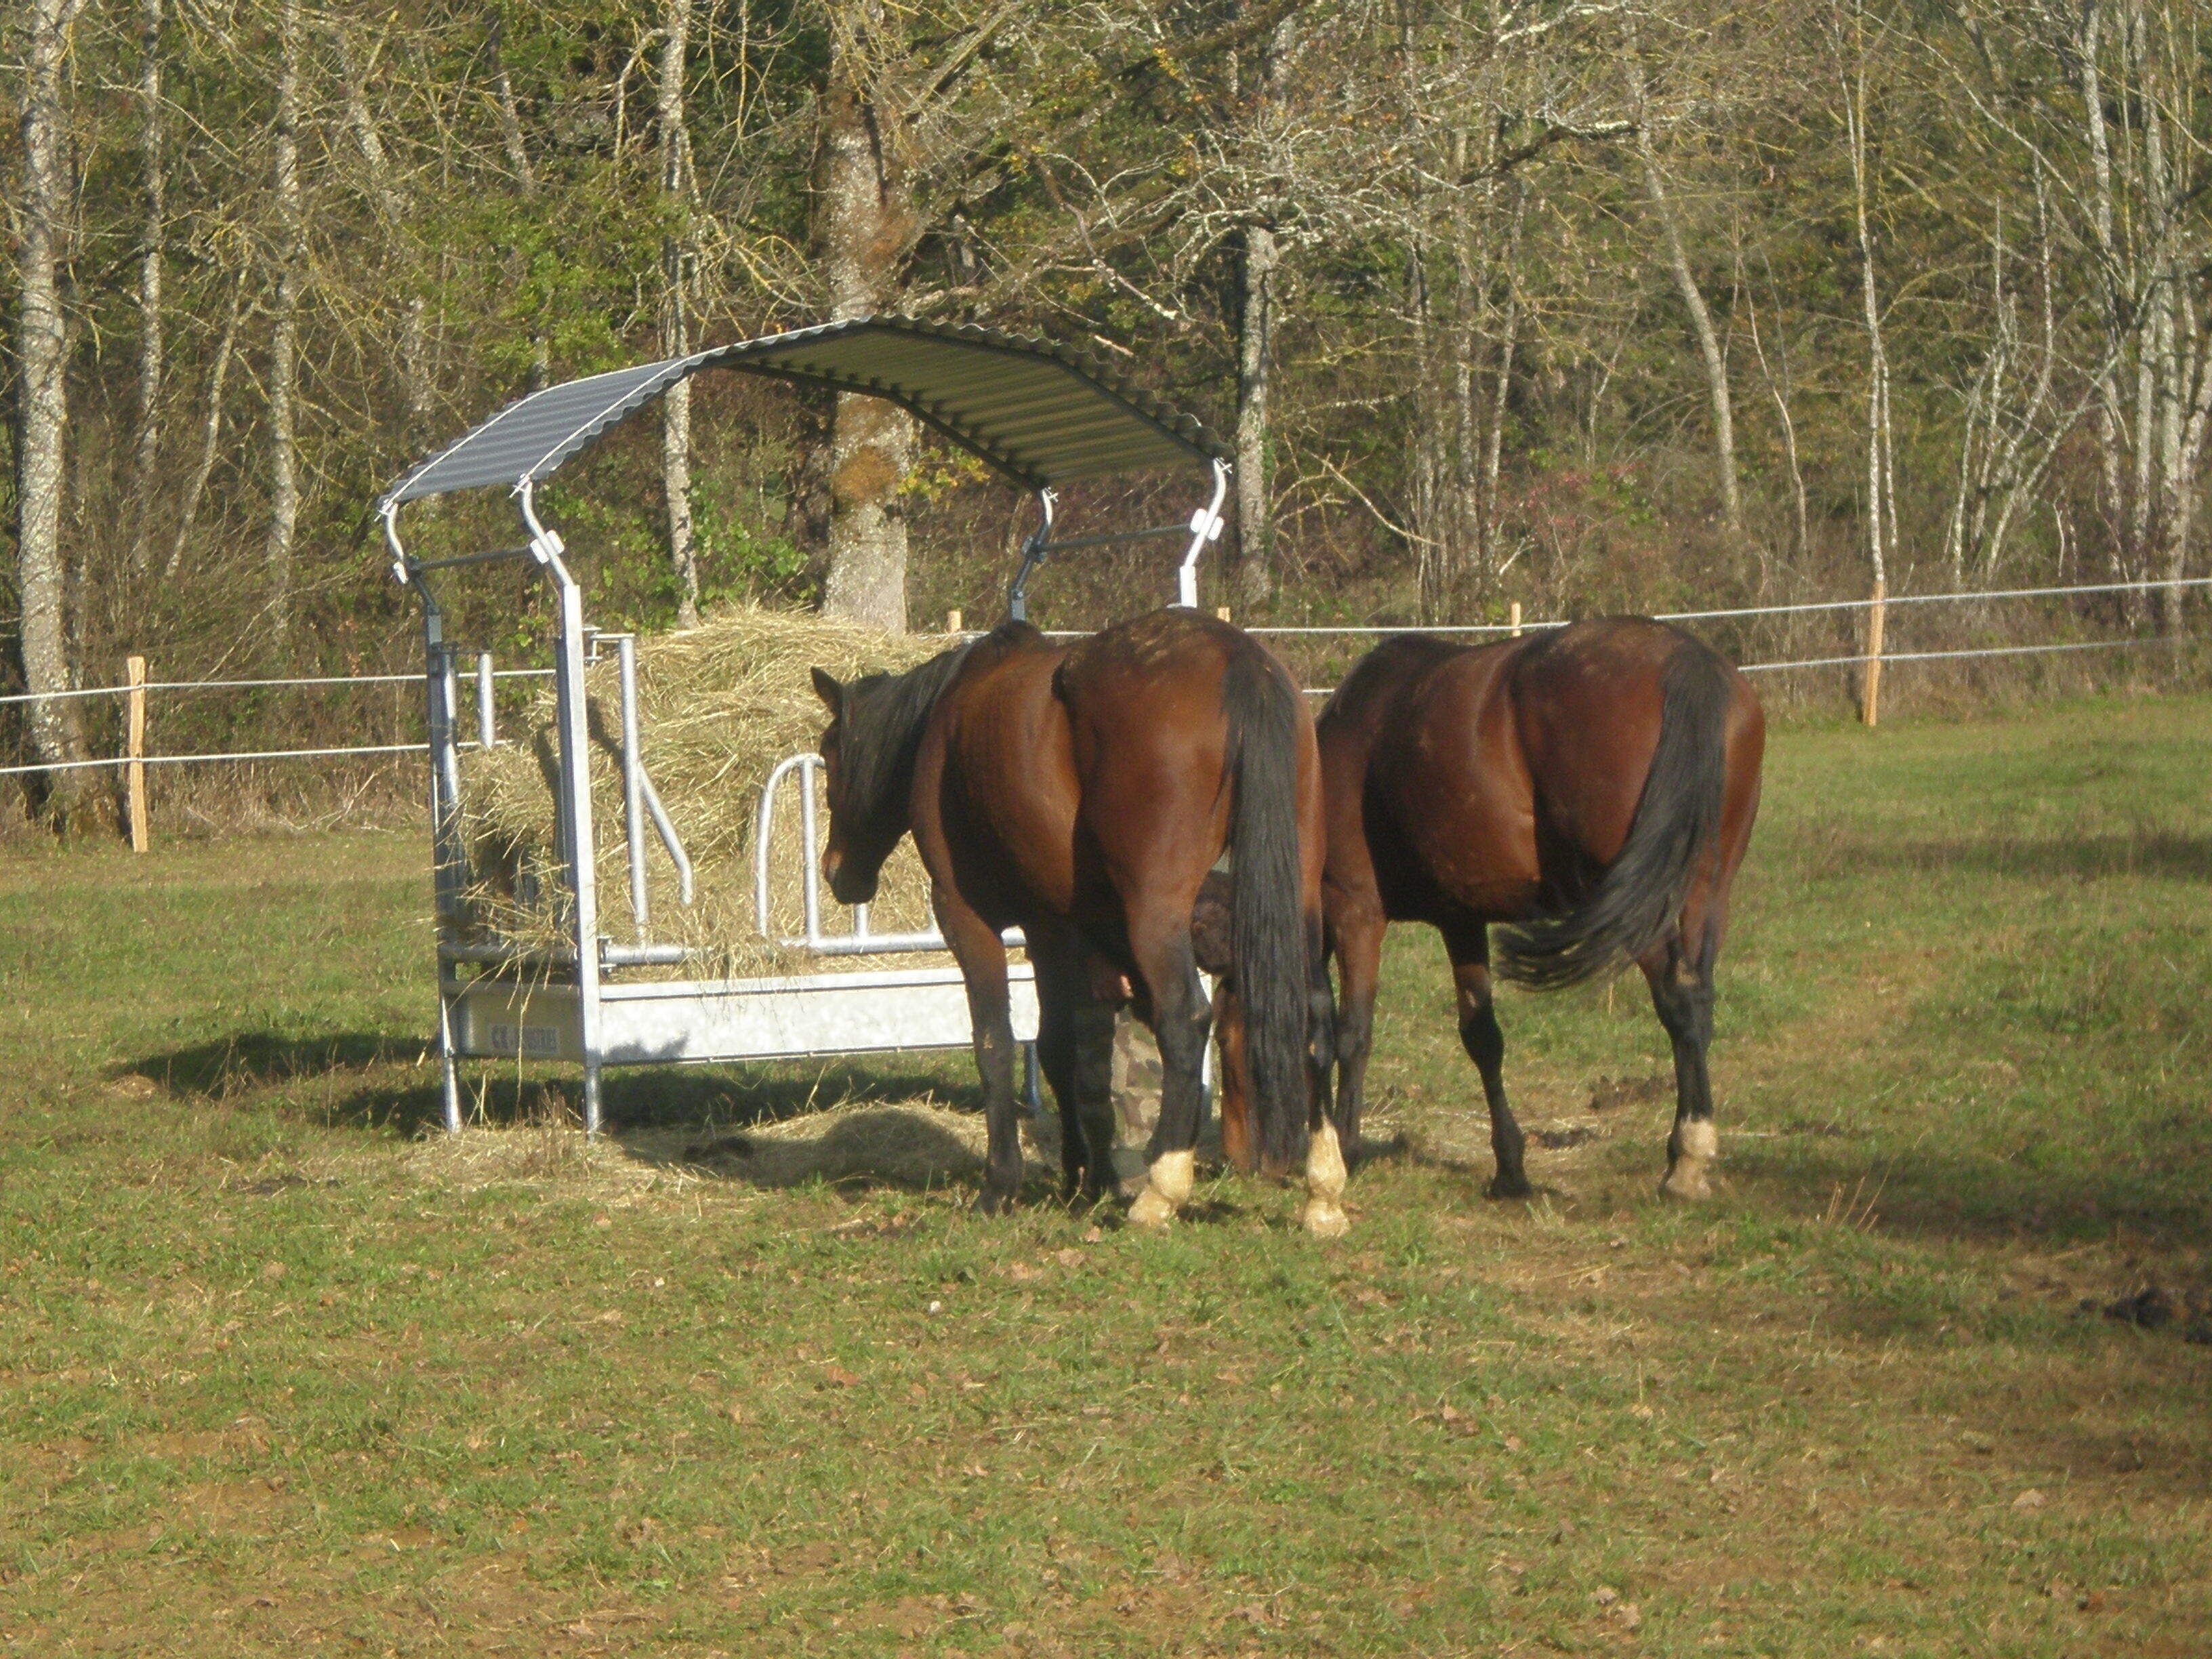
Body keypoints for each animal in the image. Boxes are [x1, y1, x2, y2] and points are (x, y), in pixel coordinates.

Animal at [809, 609, 1346, 1232]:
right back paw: (1323, 1194)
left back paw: (1162, 1189)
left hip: (1156, 914)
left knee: (1185, 1019)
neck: (949, 717)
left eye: (830, 754)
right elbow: (1058, 1049)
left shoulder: (967, 918)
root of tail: (1240, 659)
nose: (836, 871)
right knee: (1316, 1016)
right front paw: (1081, 1179)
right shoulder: (1050, 930)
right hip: (1298, 897)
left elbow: (995, 1043)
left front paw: (1001, 1184)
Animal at [1215, 616, 1764, 1203]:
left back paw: (1687, 1161)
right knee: (1697, 1000)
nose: (1239, 1162)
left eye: (1227, 1037)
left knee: (1678, 998)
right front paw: (1510, 1167)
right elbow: (1483, 1039)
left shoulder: (1354, 911)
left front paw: (1347, 1146)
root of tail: (1689, 662)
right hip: (1704, 891)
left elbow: (1352, 1033)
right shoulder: (1460, 920)